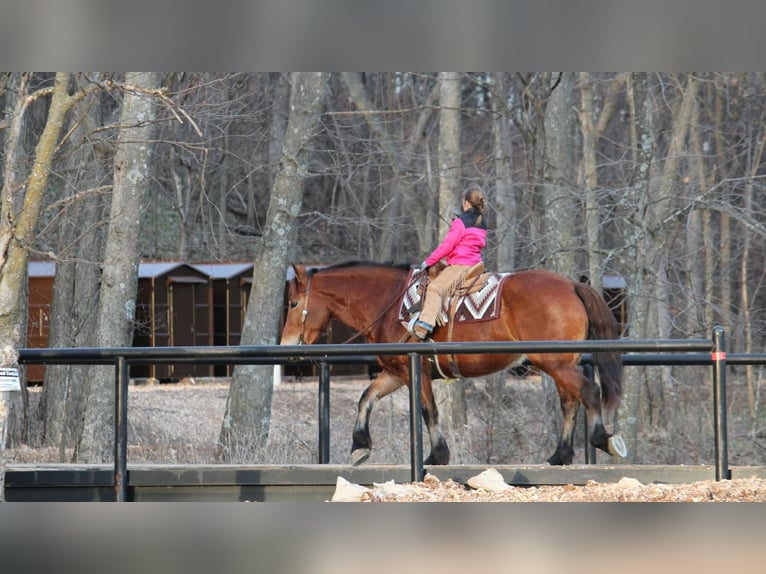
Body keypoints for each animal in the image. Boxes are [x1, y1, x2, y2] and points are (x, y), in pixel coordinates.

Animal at [280, 260, 626, 466]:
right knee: (570, 401)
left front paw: (437, 455)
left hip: (556, 363)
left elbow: (428, 411)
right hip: (559, 364)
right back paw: (560, 455)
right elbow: (366, 398)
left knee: (589, 392)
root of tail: (572, 285)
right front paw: (359, 446)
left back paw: (603, 440)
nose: (285, 346)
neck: (390, 303)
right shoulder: (395, 372)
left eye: (294, 303)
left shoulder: (415, 371)